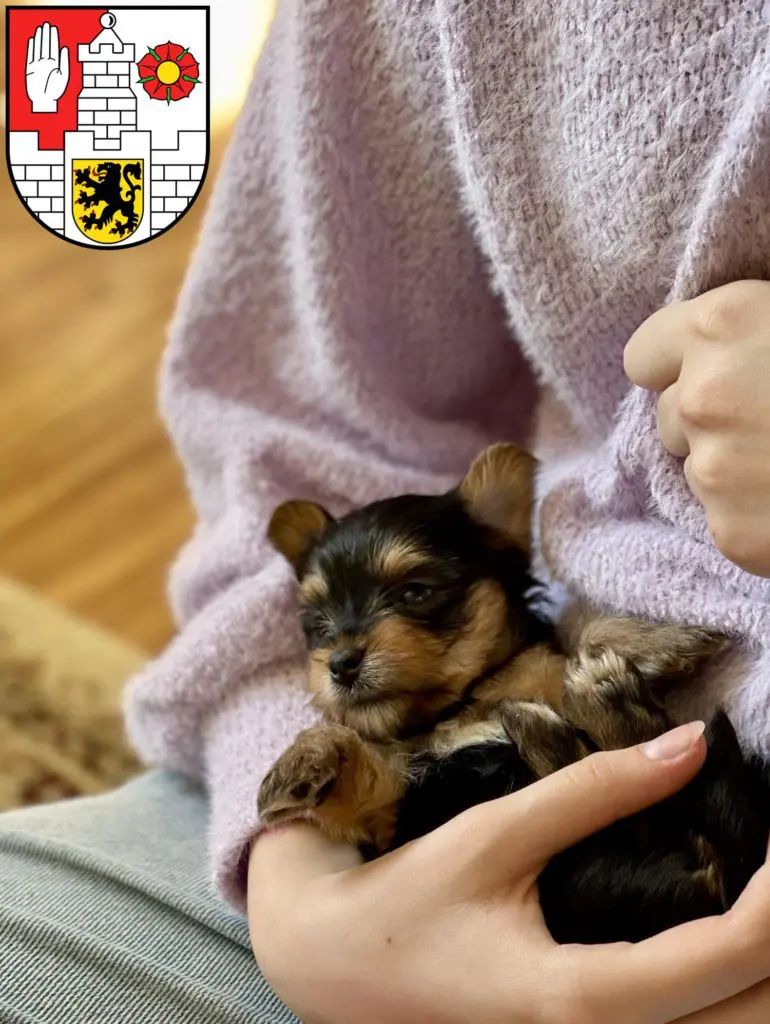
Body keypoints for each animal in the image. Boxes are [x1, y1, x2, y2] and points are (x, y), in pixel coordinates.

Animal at [260, 444, 770, 937]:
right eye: (317, 624)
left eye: (414, 593)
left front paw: (660, 639)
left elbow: (577, 646)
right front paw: (303, 759)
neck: (461, 707)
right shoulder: (395, 817)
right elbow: (367, 776)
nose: (341, 663)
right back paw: (597, 712)